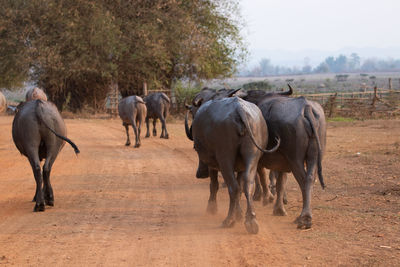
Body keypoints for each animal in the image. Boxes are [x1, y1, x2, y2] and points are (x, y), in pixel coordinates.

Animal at [186, 98, 280, 234]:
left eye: (195, 148)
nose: (200, 174)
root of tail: (239, 109)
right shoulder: (240, 167)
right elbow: (241, 187)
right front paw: (239, 214)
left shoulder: (212, 166)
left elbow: (214, 185)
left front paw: (212, 208)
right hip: (252, 155)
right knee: (247, 185)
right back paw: (251, 220)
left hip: (225, 159)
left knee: (233, 188)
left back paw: (229, 220)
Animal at [242, 89, 326, 229]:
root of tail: (306, 107)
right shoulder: (282, 164)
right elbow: (281, 183)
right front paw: (279, 209)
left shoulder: (259, 160)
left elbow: (262, 178)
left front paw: (266, 198)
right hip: (313, 155)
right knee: (310, 179)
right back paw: (305, 217)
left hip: (295, 159)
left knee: (303, 180)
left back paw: (304, 218)